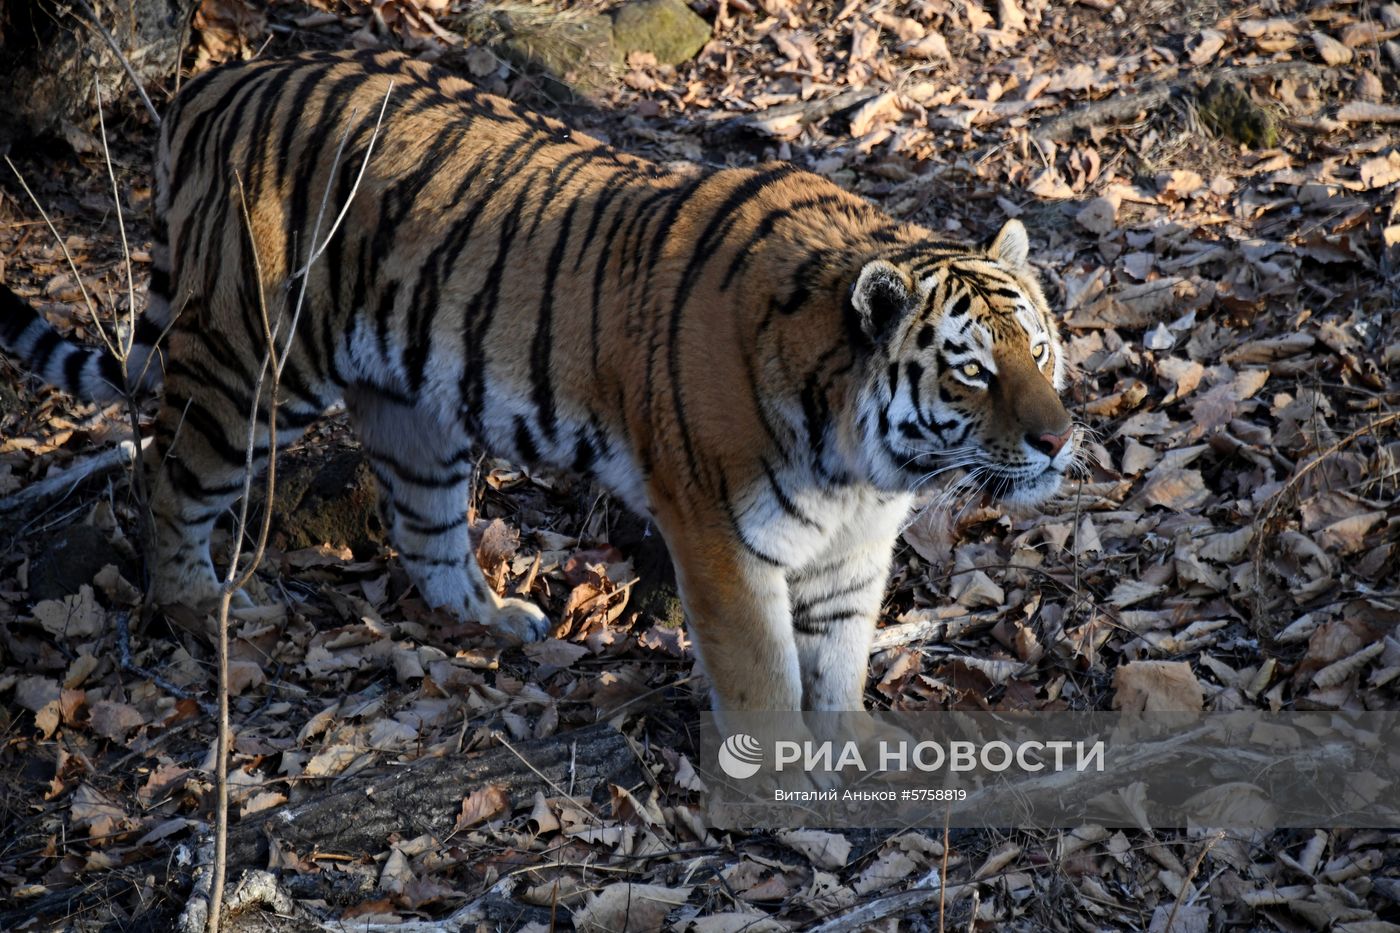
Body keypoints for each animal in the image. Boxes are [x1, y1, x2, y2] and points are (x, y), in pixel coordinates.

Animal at [0, 49, 1077, 724]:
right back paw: (199, 609)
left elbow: (840, 669)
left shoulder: (851, 555)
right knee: (169, 477)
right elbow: (764, 677)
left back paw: (493, 619)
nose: (1058, 439)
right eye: (973, 370)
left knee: (424, 531)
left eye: (1039, 349)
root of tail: (219, 82)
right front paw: (770, 790)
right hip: (247, 359)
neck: (865, 466)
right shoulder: (721, 541)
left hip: (416, 414)